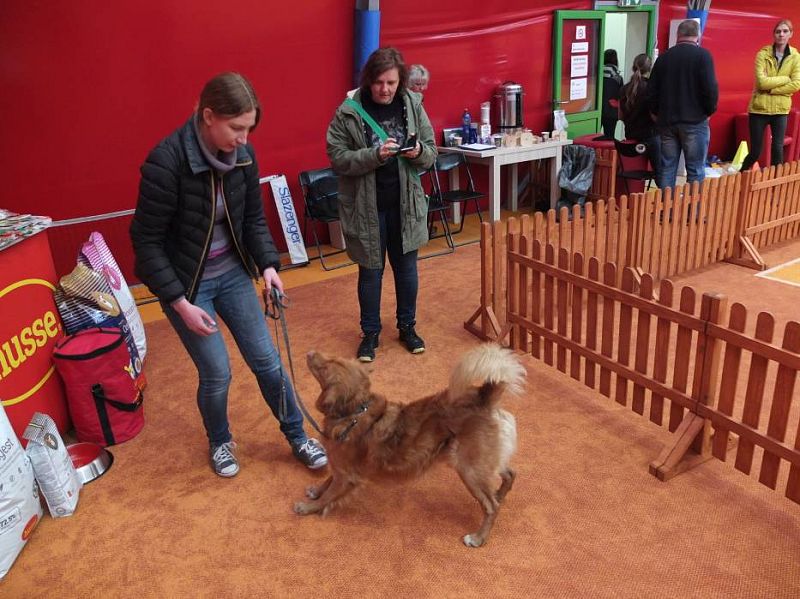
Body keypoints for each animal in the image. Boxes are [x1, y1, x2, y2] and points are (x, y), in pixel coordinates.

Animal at [294, 342, 524, 548]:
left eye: (325, 368)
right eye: (332, 358)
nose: (310, 352)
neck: (355, 411)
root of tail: (485, 398)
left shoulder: (347, 475)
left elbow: (329, 495)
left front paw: (308, 507)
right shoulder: (341, 466)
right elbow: (328, 481)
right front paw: (316, 491)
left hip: (469, 469)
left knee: (491, 506)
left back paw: (478, 538)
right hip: (482, 462)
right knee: (509, 475)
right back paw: (499, 495)